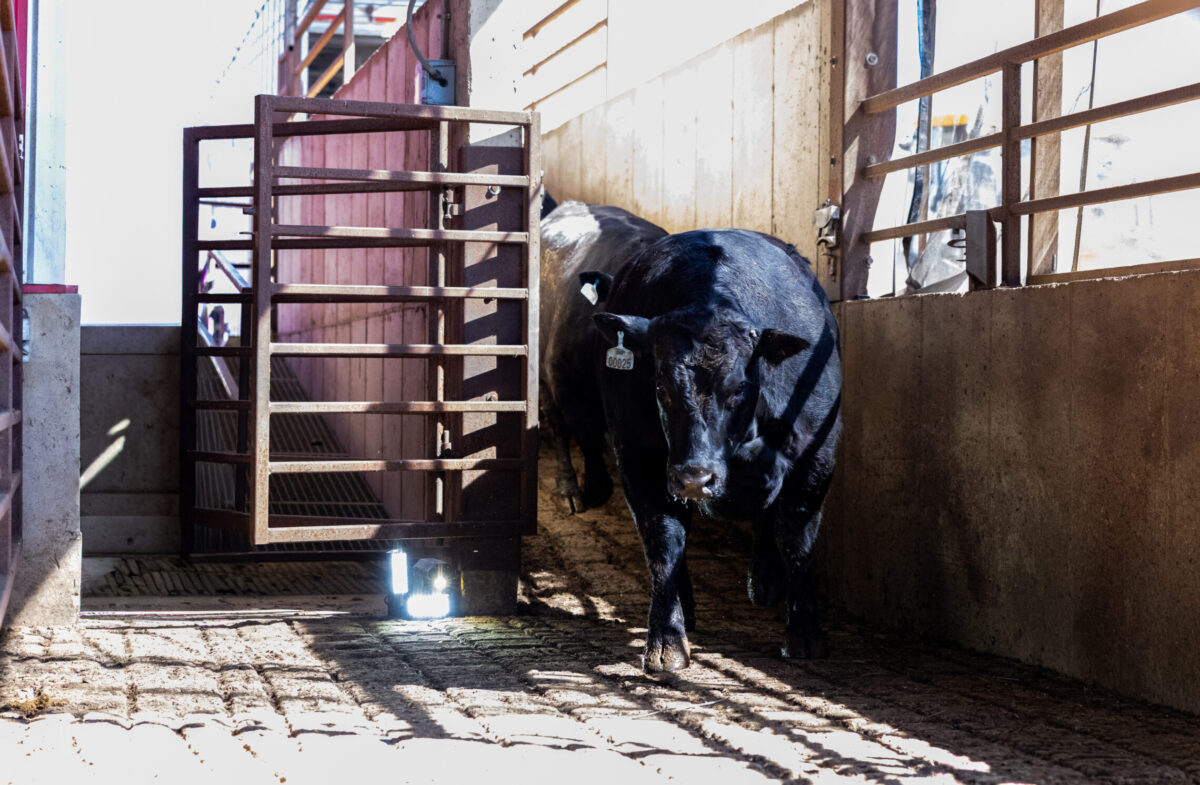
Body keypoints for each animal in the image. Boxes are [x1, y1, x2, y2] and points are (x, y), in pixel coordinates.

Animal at [588, 229, 842, 672]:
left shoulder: (817, 454)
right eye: (660, 386)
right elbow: (664, 541)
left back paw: (764, 582)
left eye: (739, 387)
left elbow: (797, 538)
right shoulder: (636, 453)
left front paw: (805, 633)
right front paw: (667, 639)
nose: (695, 476)